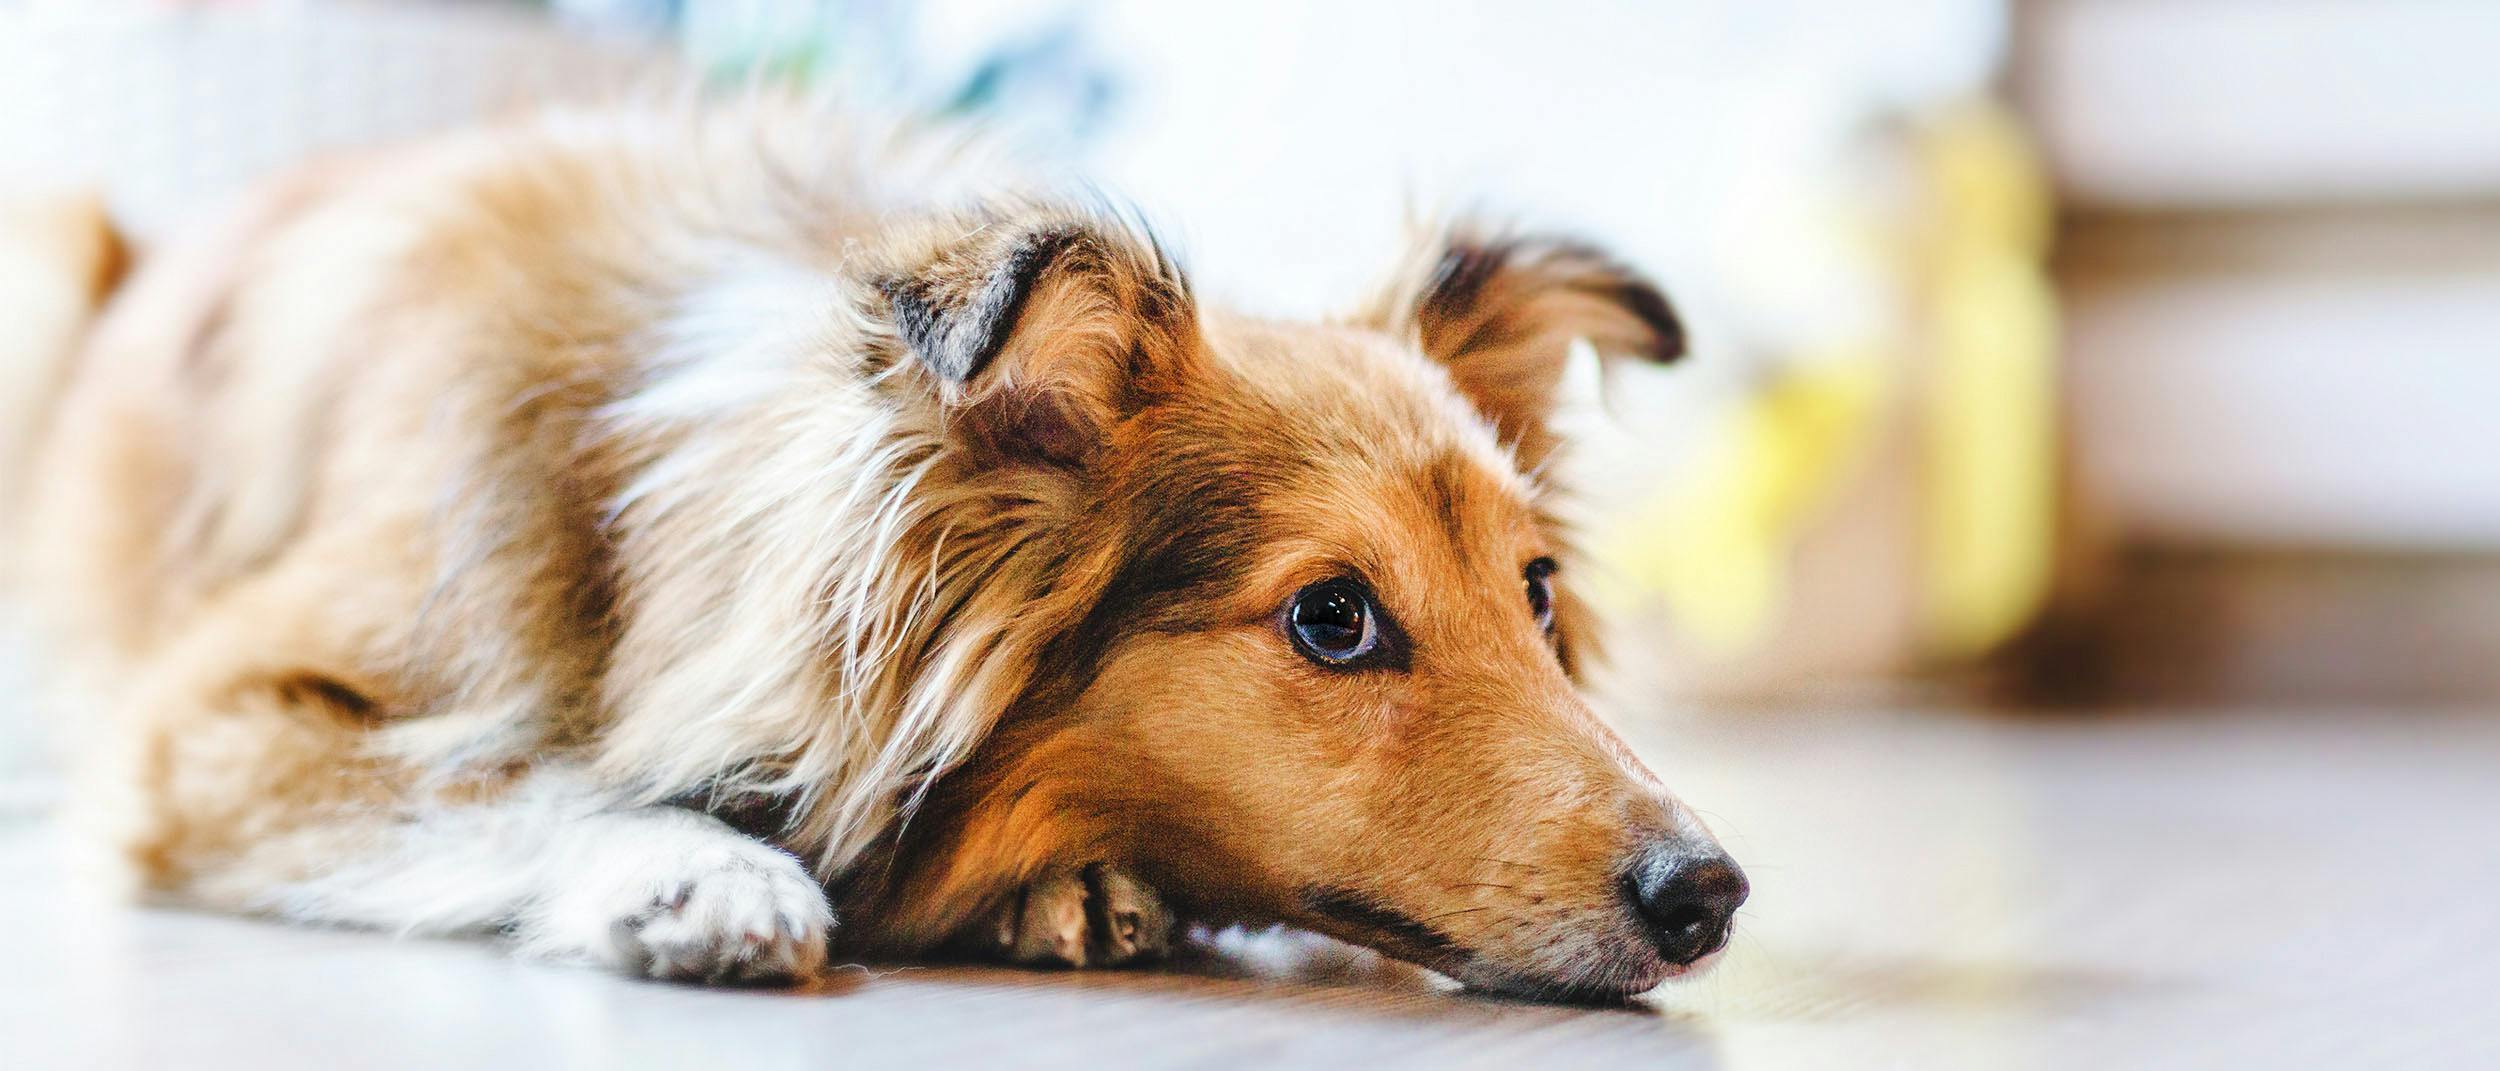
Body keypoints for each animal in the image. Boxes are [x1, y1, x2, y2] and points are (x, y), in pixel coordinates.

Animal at [0, 100, 1750, 1005]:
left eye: (1536, 591)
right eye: (1333, 616)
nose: (1712, 892)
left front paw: (1073, 887)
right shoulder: (207, 723)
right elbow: (514, 775)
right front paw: (700, 868)